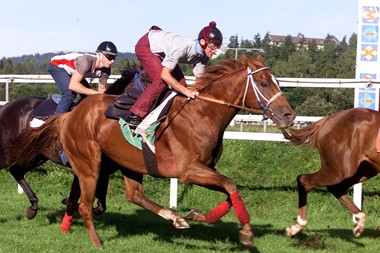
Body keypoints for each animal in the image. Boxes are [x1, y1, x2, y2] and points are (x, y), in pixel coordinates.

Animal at [7, 55, 296, 247]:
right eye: (264, 83)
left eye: (276, 81)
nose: (289, 115)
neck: (201, 113)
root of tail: (68, 115)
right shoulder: (189, 171)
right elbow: (231, 185)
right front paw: (246, 233)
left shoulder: (207, 168)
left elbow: (230, 190)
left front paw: (197, 215)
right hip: (89, 166)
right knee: (84, 206)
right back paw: (97, 242)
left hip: (127, 163)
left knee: (134, 195)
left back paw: (174, 218)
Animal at [284, 107, 380, 238]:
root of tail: (329, 118)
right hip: (340, 170)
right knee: (304, 179)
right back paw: (297, 225)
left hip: (364, 170)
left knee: (336, 188)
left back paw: (359, 224)